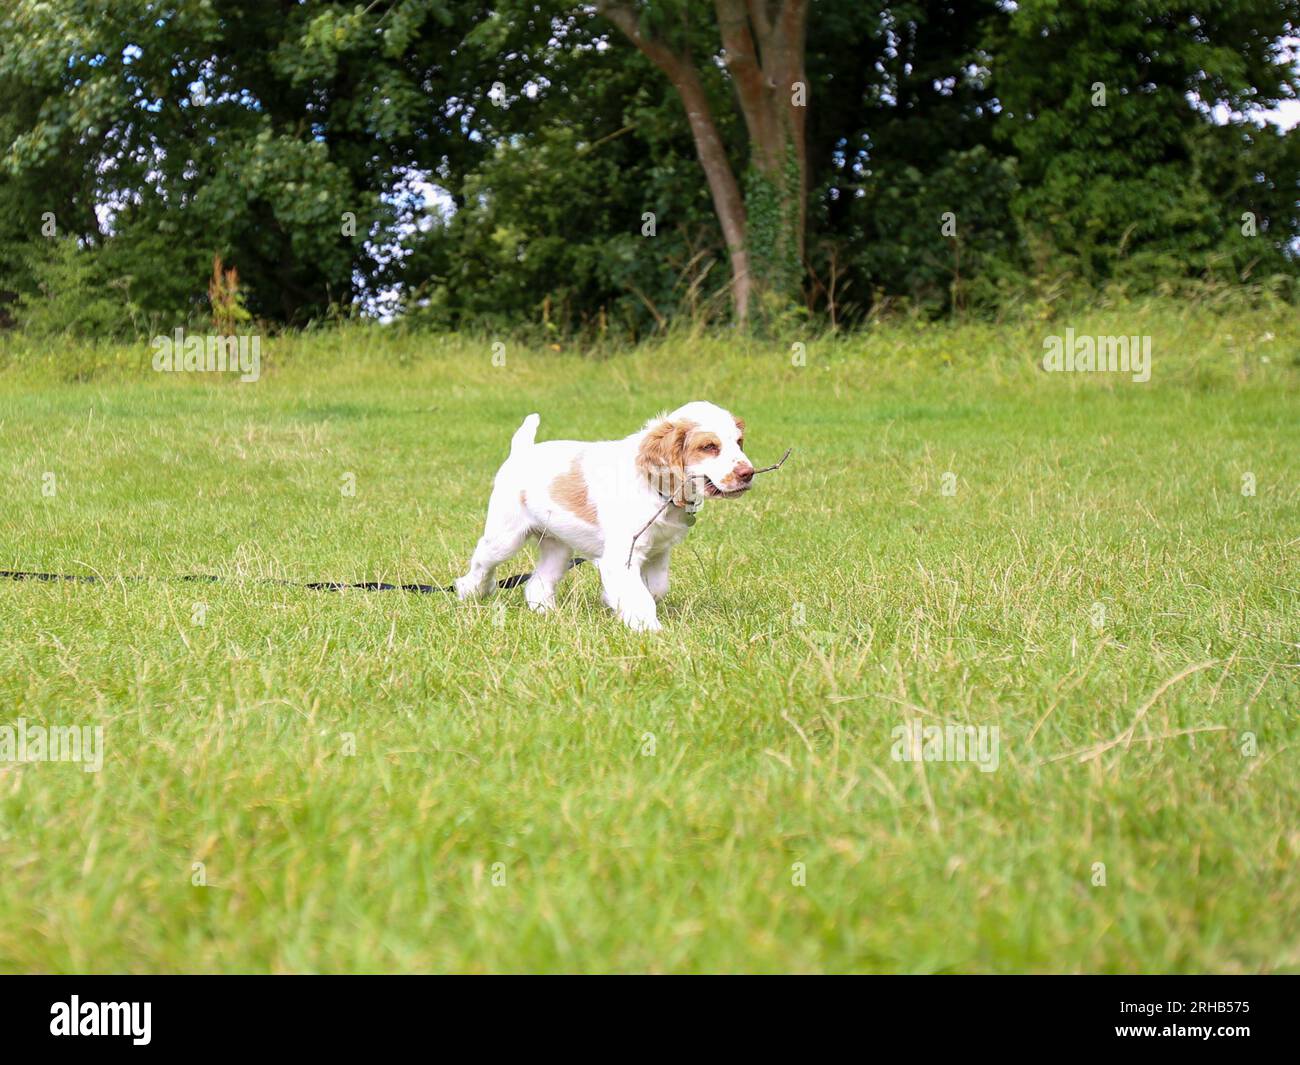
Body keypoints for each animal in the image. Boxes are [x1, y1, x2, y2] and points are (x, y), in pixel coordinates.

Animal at [457, 403, 759, 629]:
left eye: (739, 442)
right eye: (709, 447)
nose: (748, 473)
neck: (659, 491)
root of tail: (523, 450)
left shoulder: (659, 552)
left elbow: (657, 587)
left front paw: (615, 603)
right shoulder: (621, 557)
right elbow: (640, 596)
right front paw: (649, 630)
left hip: (558, 547)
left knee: (537, 583)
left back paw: (547, 613)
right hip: (505, 537)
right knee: (481, 563)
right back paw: (471, 592)